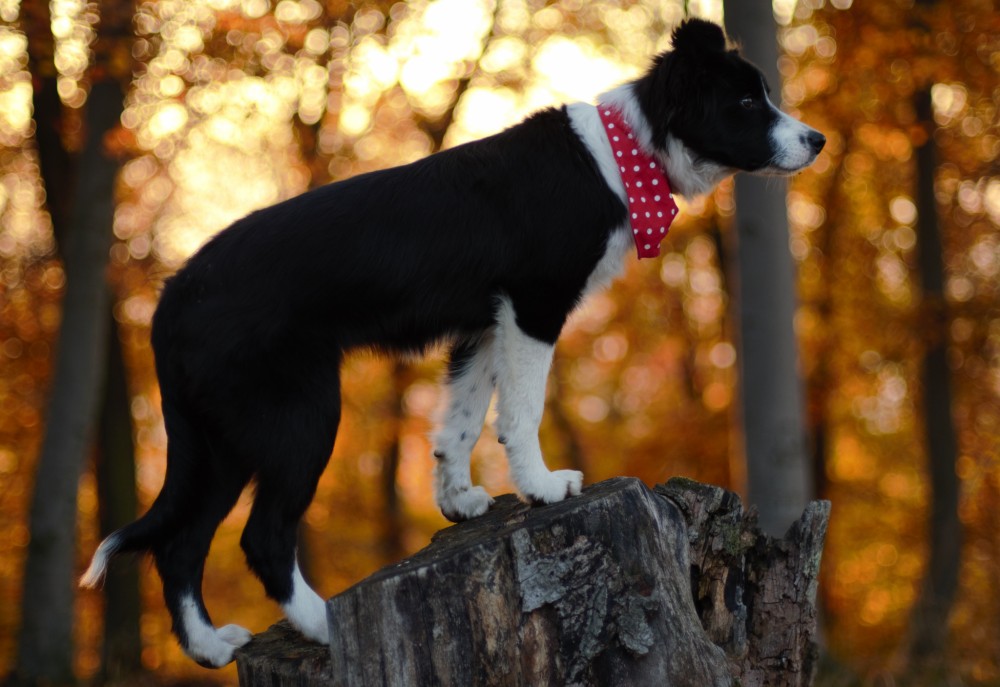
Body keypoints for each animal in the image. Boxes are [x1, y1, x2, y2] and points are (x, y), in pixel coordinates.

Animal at [80, 18, 828, 668]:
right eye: (745, 102)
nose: (817, 140)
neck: (620, 159)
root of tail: (171, 299)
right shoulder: (534, 306)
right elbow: (519, 411)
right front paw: (542, 487)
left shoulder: (484, 322)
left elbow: (460, 418)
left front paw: (458, 499)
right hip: (297, 414)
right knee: (259, 537)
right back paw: (324, 625)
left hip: (222, 437)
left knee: (180, 544)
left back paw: (210, 647)